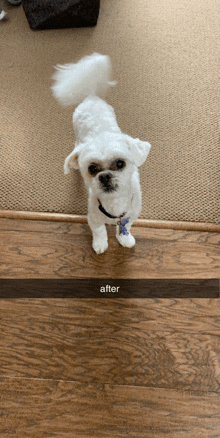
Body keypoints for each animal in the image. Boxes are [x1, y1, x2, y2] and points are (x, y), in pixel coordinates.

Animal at [51, 53, 151, 255]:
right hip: (76, 131)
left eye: (120, 163)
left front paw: (124, 238)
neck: (114, 204)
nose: (105, 176)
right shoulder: (93, 217)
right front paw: (100, 244)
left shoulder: (131, 215)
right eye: (92, 168)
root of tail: (91, 96)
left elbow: (126, 226)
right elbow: (99, 231)